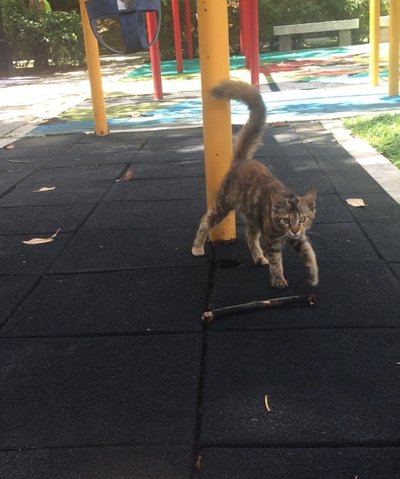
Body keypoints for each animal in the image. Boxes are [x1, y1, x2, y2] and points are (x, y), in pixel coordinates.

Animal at [192, 80, 320, 288]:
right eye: (285, 220)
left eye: (302, 219)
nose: (294, 230)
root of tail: (242, 160)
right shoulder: (272, 241)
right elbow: (276, 262)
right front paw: (278, 279)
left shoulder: (299, 238)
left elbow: (309, 253)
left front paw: (313, 274)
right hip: (223, 204)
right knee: (205, 221)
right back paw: (197, 247)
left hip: (252, 218)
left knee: (250, 237)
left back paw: (259, 258)